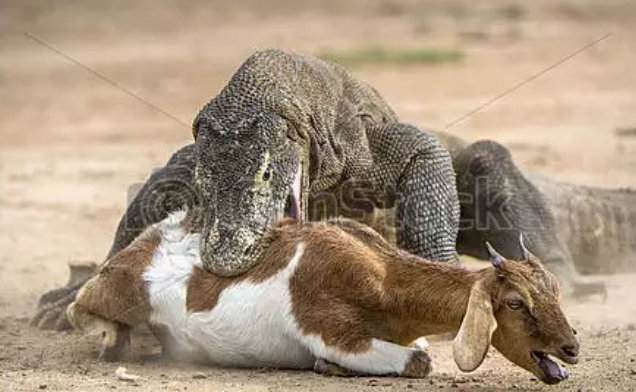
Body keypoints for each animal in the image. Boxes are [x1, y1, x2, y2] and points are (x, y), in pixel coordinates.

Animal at [67, 210, 580, 384]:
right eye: (516, 302)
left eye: (555, 291)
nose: (571, 347)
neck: (383, 277)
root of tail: (159, 232)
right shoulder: (331, 330)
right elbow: (419, 361)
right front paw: (325, 366)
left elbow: (417, 350)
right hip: (119, 289)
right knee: (79, 305)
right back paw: (114, 339)